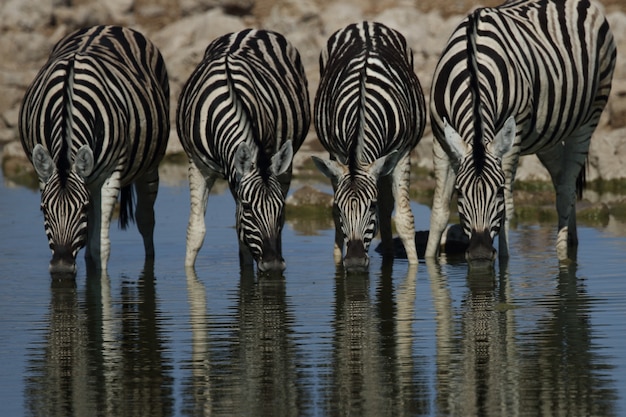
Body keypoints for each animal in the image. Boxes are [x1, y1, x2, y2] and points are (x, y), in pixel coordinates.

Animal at [19, 26, 171, 272]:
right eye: (43, 209)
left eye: (81, 209)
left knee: (146, 219)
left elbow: (101, 247)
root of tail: (109, 26)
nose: (61, 267)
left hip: (150, 164)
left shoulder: (110, 174)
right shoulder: (44, 173)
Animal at [176, 28, 310, 270]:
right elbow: (197, 231)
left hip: (286, 161)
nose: (274, 265)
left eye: (280, 207)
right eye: (248, 207)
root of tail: (253, 29)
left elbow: (244, 233)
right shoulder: (198, 165)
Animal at [310, 21, 424, 268]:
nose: (354, 261)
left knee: (388, 206)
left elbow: (404, 218)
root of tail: (365, 24)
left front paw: (414, 268)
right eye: (340, 207)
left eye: (370, 205)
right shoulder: (339, 155)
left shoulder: (402, 153)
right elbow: (336, 217)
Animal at [424, 0, 616, 262]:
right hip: (546, 133)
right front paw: (427, 262)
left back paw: (563, 254)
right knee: (560, 177)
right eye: (460, 193)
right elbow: (439, 211)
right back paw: (572, 238)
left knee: (566, 190)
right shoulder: (441, 140)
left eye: (497, 191)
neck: (473, 68)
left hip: (589, 116)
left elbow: (508, 210)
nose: (480, 254)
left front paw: (504, 267)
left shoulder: (513, 140)